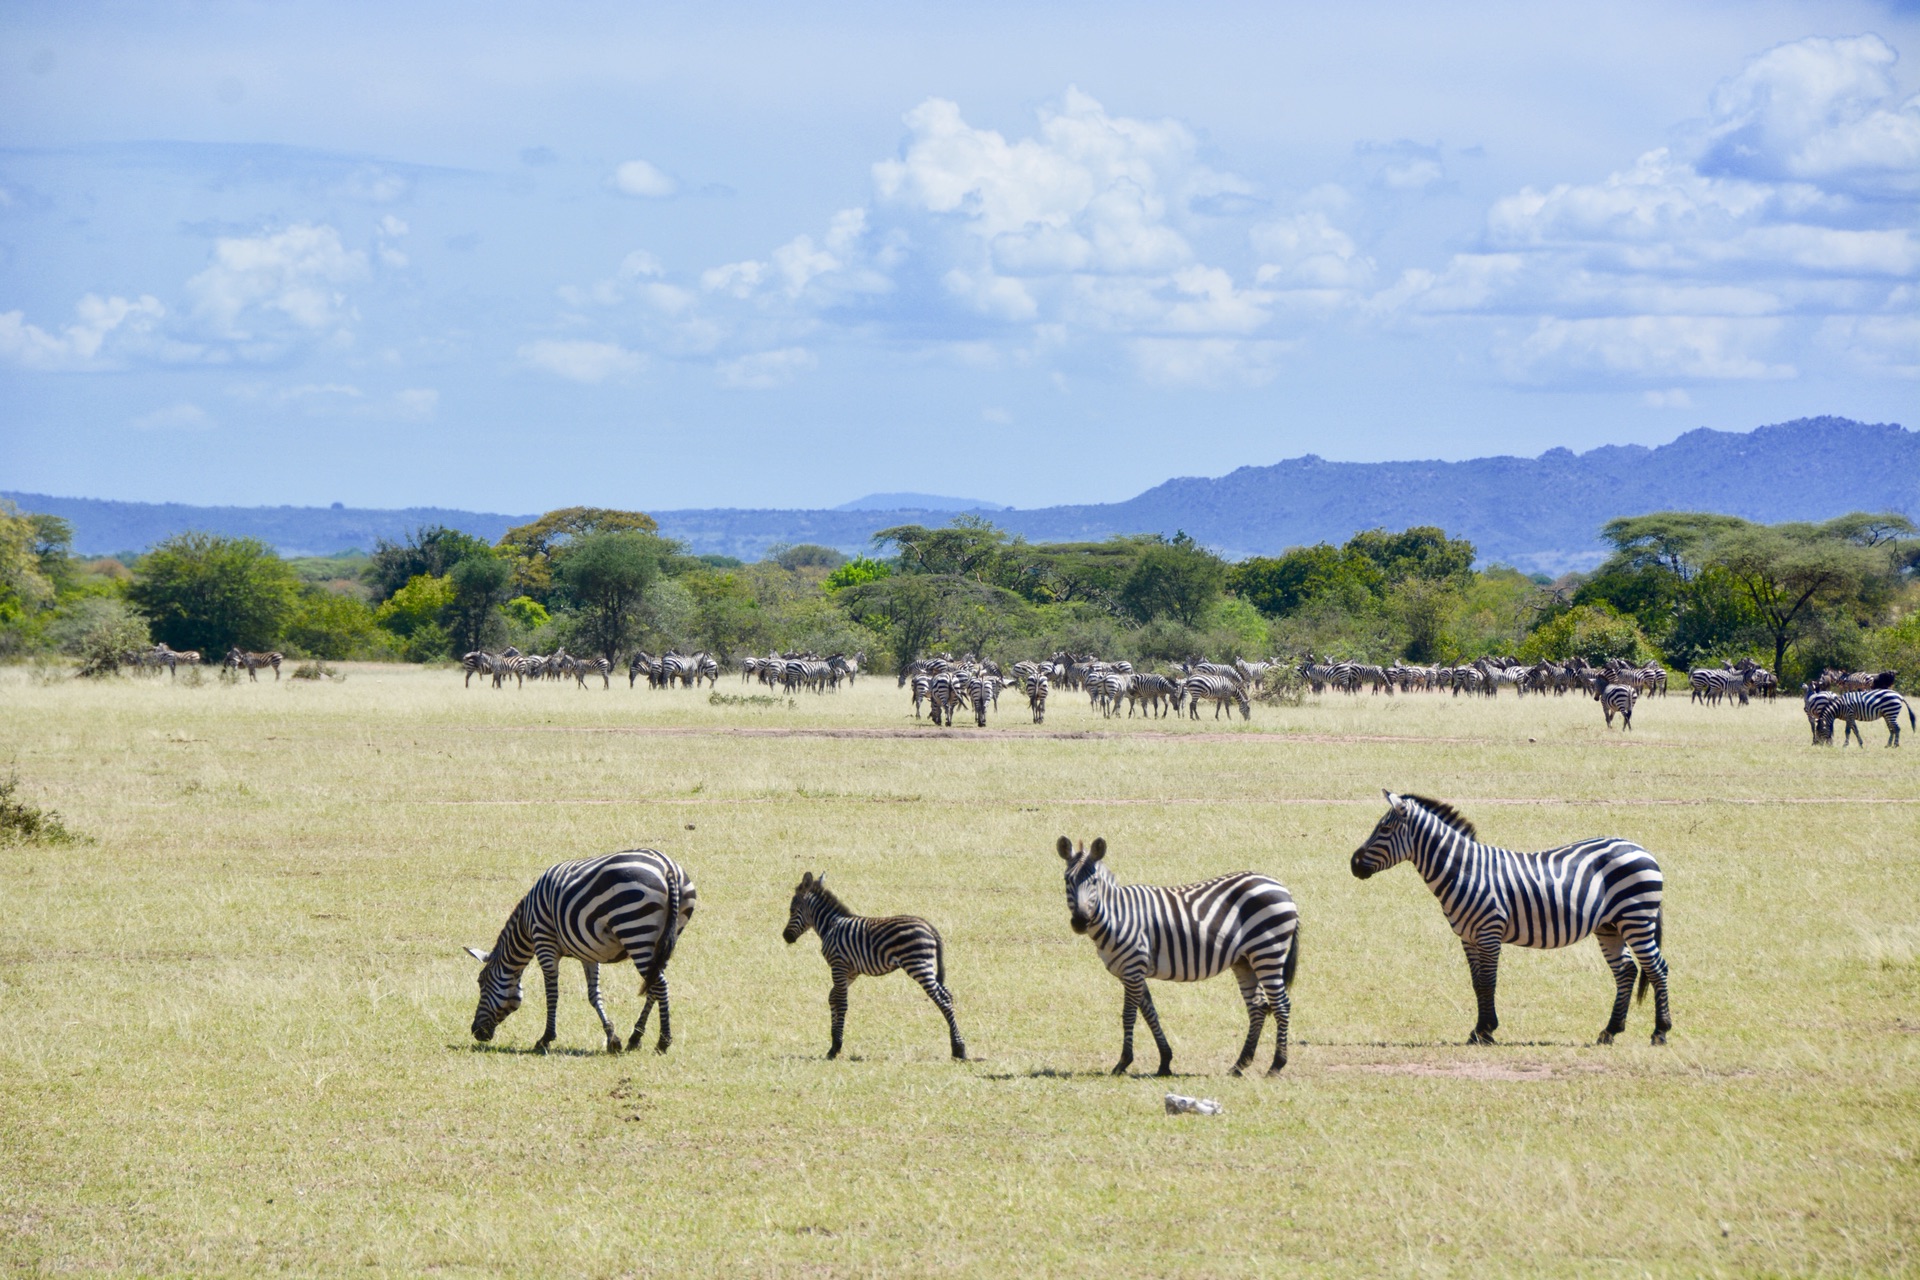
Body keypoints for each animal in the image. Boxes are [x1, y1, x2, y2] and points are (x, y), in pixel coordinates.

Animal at [466, 855, 698, 1059]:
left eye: (481, 982)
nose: (475, 1031)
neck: (526, 924)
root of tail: (668, 867)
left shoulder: (544, 942)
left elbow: (552, 994)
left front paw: (546, 1038)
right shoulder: (589, 952)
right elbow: (594, 995)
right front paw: (612, 1037)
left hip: (635, 929)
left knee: (660, 985)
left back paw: (663, 1042)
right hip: (665, 938)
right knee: (653, 986)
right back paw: (635, 1038)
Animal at [779, 871, 967, 1059]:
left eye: (792, 910)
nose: (785, 937)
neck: (831, 926)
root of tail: (929, 926)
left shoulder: (839, 965)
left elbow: (841, 1001)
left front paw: (835, 1047)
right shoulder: (851, 971)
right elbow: (832, 997)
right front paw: (834, 1044)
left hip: (917, 964)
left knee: (942, 999)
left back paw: (960, 1049)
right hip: (926, 965)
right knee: (947, 994)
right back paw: (957, 1047)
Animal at [1052, 836, 1305, 1074]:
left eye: (1094, 882)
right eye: (1067, 880)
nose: (1080, 922)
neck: (1117, 916)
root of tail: (1282, 887)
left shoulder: (1133, 968)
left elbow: (1129, 1015)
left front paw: (1123, 1063)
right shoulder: (1130, 972)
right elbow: (1150, 1013)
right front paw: (1165, 1061)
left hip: (1267, 952)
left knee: (1281, 1004)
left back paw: (1276, 1065)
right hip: (1245, 960)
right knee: (1258, 1006)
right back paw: (1239, 1065)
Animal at [1344, 790, 1674, 1051]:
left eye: (1384, 828)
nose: (1353, 865)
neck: (1464, 871)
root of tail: (1641, 849)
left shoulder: (1489, 931)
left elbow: (1489, 981)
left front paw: (1486, 1031)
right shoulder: (1468, 936)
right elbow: (1477, 983)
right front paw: (1479, 1030)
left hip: (1636, 918)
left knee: (1657, 968)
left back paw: (1660, 1032)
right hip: (1609, 926)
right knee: (1627, 971)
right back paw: (1610, 1031)